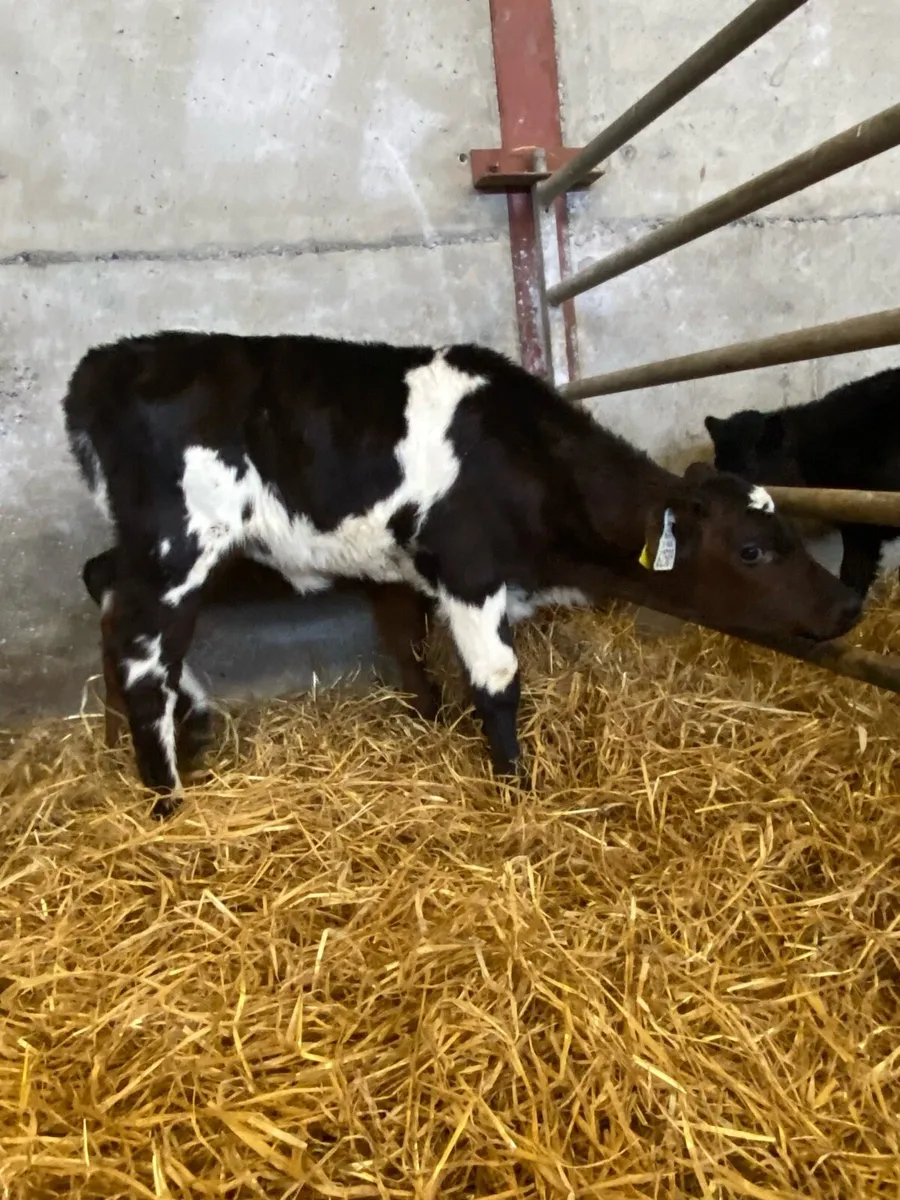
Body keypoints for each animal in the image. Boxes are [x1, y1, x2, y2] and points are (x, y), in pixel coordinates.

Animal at [63, 330, 862, 817]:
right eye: (753, 550)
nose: (847, 606)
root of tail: (104, 362)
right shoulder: (469, 570)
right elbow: (497, 680)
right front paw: (516, 788)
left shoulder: (411, 574)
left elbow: (410, 645)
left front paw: (432, 719)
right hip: (177, 546)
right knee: (145, 659)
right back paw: (167, 798)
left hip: (195, 551)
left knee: (104, 583)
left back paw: (168, 726)